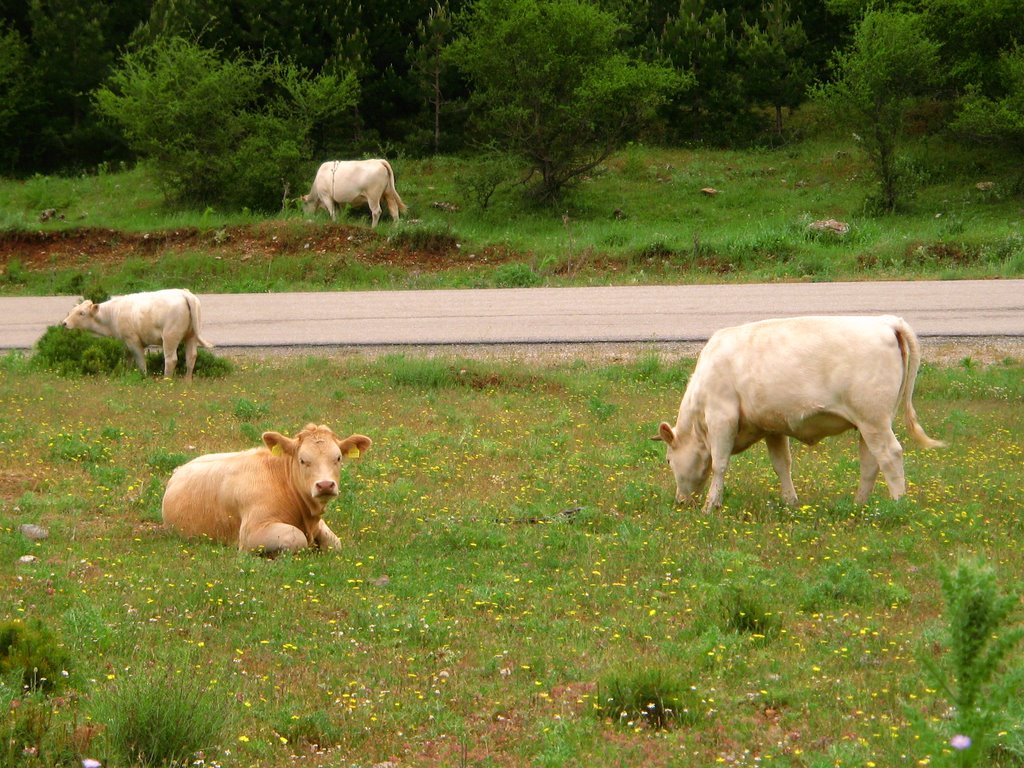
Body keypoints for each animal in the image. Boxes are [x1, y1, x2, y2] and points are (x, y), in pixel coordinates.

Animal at [60, 288, 211, 382]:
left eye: (82, 313)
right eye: (72, 310)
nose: (64, 323)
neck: (114, 313)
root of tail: (185, 294)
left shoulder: (133, 340)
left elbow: (140, 361)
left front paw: (144, 377)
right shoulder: (126, 341)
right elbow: (127, 358)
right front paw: (125, 374)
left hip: (170, 336)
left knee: (171, 359)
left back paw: (166, 381)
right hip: (191, 336)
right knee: (191, 357)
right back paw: (187, 382)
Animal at [157, 423, 370, 557]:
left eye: (338, 458)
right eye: (302, 460)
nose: (325, 485)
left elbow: (335, 543)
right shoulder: (251, 533)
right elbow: (296, 537)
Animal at [655, 315, 942, 514]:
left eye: (668, 460)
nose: (680, 501)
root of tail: (886, 321)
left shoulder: (721, 416)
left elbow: (719, 464)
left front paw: (711, 506)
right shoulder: (771, 426)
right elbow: (782, 464)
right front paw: (790, 502)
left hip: (874, 419)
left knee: (891, 455)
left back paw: (898, 505)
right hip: (870, 423)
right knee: (871, 461)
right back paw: (858, 505)